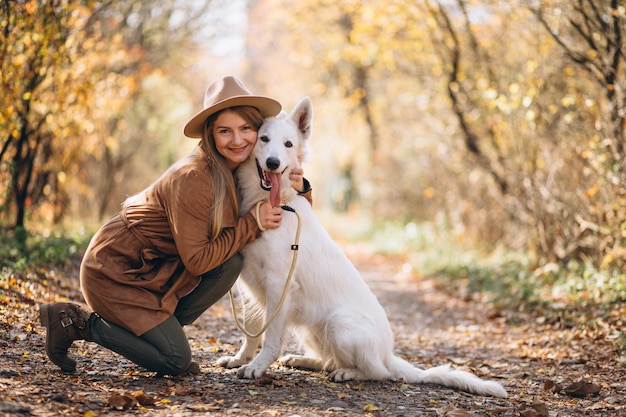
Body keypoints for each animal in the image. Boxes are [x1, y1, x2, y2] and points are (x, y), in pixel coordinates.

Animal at [217, 96, 504, 396]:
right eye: (263, 138)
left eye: (288, 144)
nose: (273, 163)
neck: (273, 203)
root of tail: (388, 353)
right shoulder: (249, 281)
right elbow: (251, 330)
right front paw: (241, 358)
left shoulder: (278, 285)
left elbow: (271, 337)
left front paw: (257, 367)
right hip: (312, 328)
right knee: (330, 360)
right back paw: (304, 360)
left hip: (338, 324)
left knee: (377, 372)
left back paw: (348, 372)